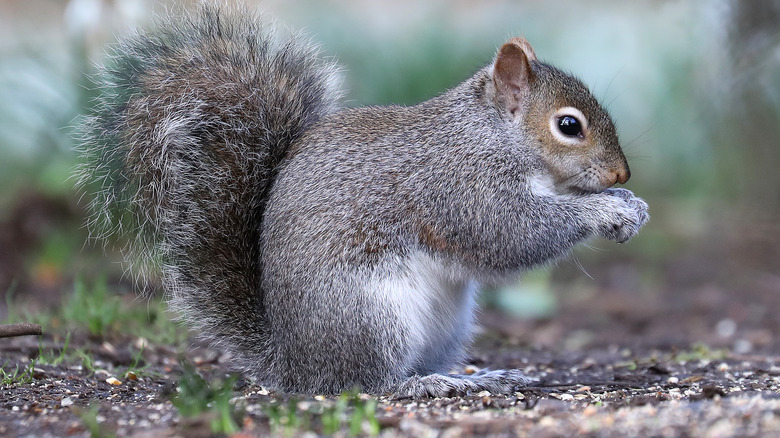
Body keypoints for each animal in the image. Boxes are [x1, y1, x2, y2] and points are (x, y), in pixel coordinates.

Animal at [79, 5, 648, 398]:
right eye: (568, 125)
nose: (622, 172)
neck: (490, 136)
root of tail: (296, 364)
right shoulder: (460, 187)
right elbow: (512, 235)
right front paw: (607, 210)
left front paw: (627, 200)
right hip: (370, 314)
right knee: (364, 383)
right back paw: (420, 385)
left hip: (447, 324)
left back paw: (477, 375)